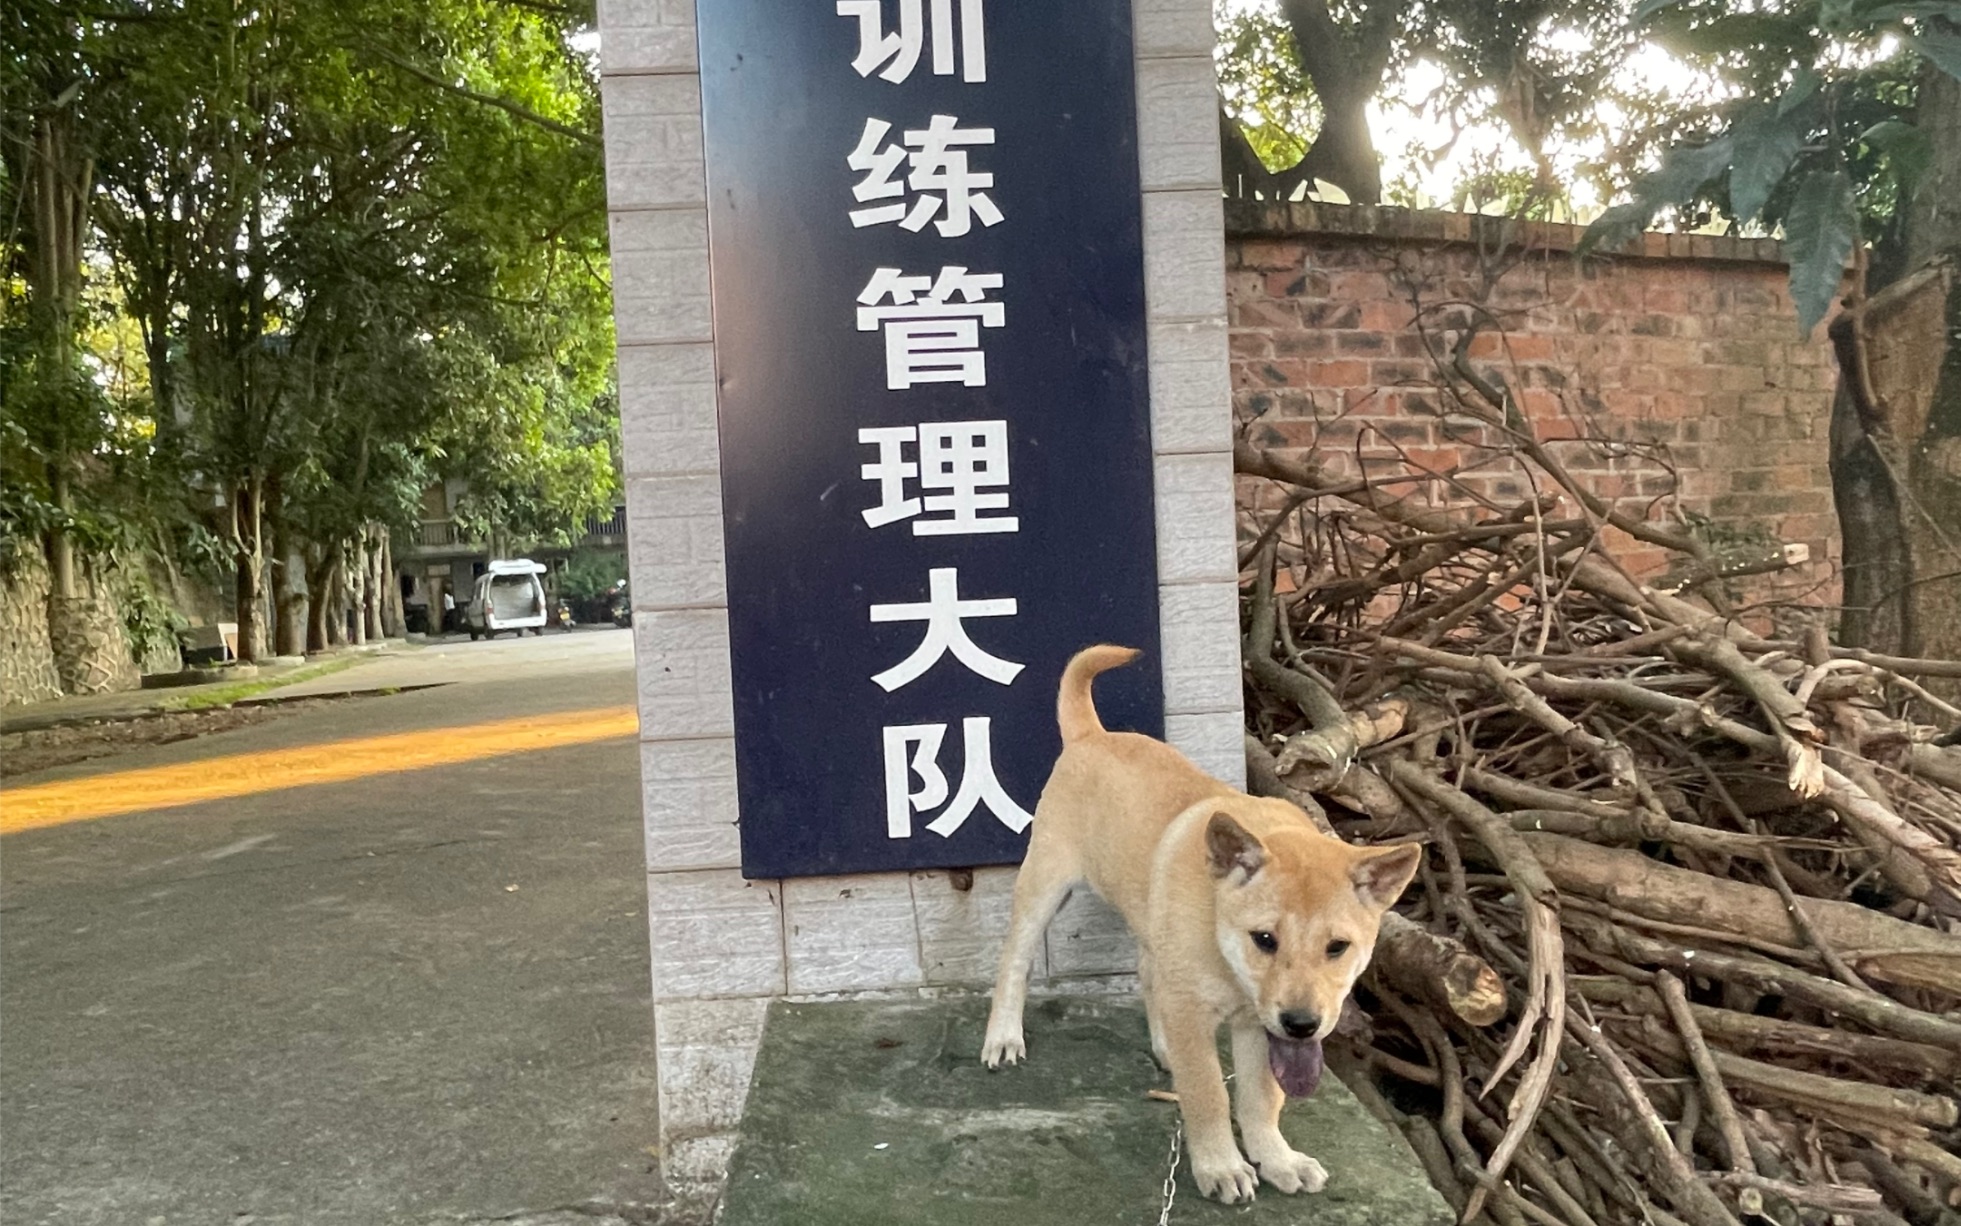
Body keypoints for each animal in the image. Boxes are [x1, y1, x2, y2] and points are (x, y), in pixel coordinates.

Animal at [980, 647, 1427, 1200]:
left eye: (1338, 947)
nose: (1302, 1025)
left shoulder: (1259, 1025)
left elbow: (1262, 1097)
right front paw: (1222, 1166)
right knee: (1014, 961)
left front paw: (1277, 1158)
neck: (1224, 952)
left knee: (1148, 973)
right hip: (1044, 881)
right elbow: (1209, 1093)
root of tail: (1091, 735)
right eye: (1265, 939)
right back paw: (1003, 1037)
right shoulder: (1196, 1012)